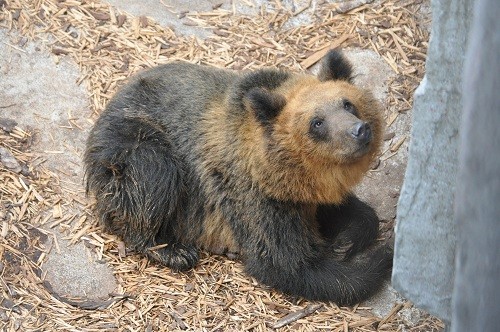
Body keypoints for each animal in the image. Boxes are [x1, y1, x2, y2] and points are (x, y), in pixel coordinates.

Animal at [85, 49, 390, 306]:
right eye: (317, 123)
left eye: (348, 104)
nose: (359, 130)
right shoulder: (251, 196)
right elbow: (289, 264)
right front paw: (382, 256)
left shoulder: (305, 197)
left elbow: (354, 212)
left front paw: (345, 241)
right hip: (135, 145)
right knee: (152, 178)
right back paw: (172, 249)